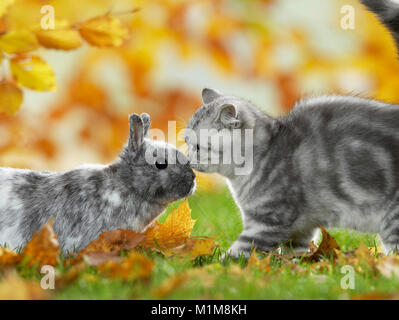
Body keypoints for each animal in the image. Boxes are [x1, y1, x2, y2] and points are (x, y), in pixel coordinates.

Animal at [186, 0, 399, 256]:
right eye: (186, 143)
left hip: (393, 219)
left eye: (198, 147)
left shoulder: (266, 222)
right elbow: (295, 253)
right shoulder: (302, 229)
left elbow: (238, 253)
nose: (187, 160)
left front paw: (212, 262)